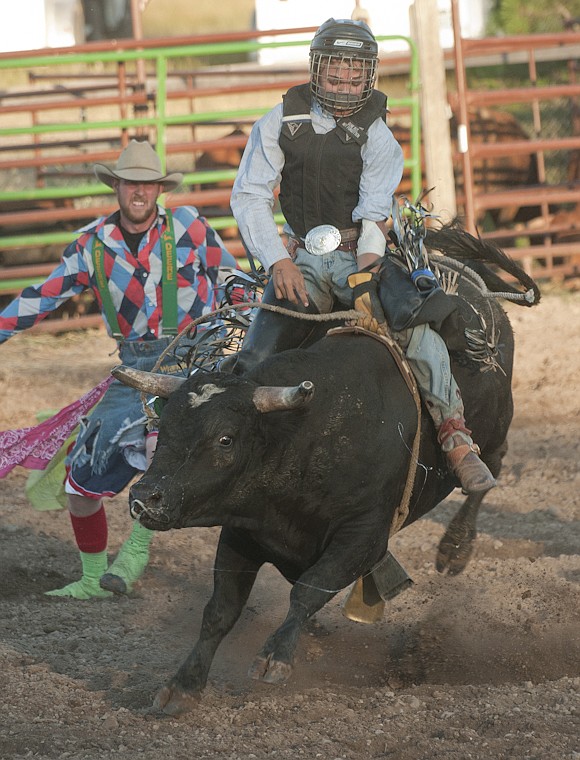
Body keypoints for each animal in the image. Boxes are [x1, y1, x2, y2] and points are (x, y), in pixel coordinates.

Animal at [115, 229, 540, 716]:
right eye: (163, 426)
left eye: (225, 439)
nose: (145, 497)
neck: (301, 434)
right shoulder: (243, 530)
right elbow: (221, 610)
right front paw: (183, 684)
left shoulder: (364, 535)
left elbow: (309, 589)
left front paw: (275, 657)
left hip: (495, 428)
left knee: (491, 469)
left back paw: (455, 544)